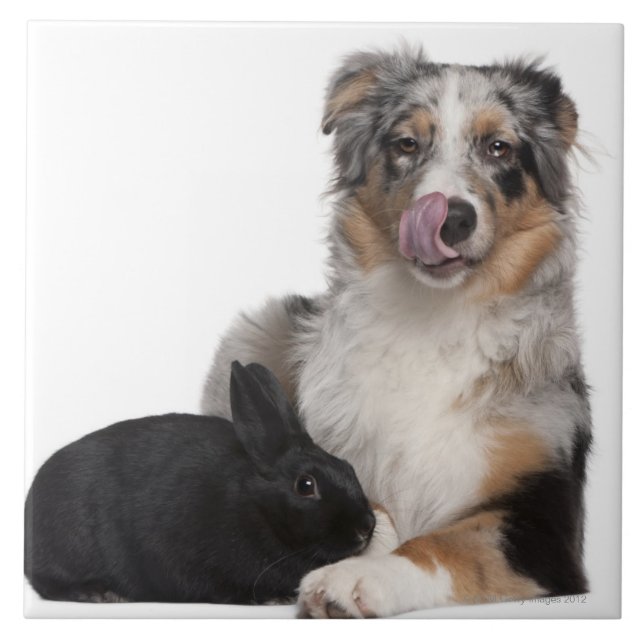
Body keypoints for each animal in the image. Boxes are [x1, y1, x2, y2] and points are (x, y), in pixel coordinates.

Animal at [24, 361, 378, 605]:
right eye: (305, 485)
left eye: (347, 467)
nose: (366, 526)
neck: (256, 505)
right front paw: (274, 598)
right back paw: (99, 593)